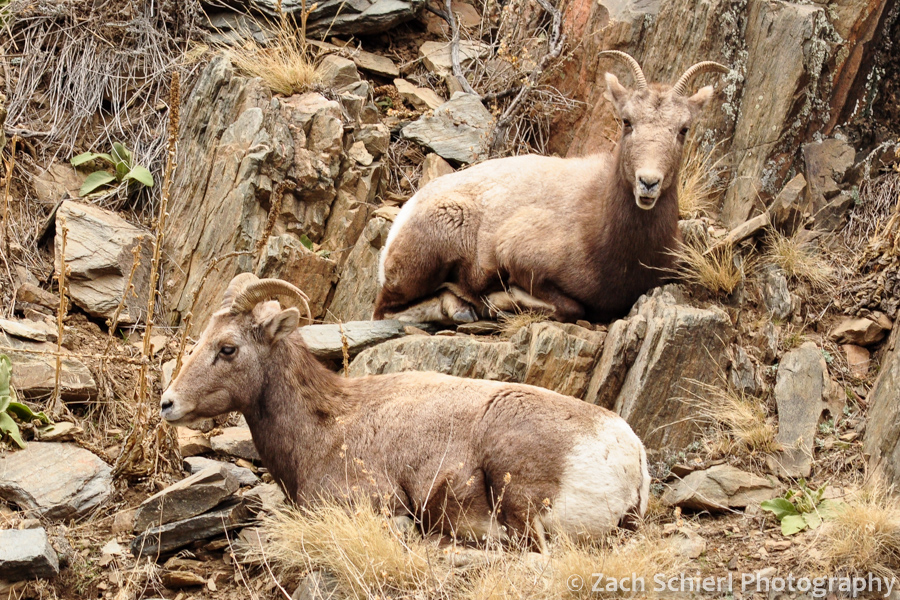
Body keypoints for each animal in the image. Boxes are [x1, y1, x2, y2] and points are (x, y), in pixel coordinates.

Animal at [374, 52, 729, 324]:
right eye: (627, 121)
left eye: (684, 128)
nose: (648, 182)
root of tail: (406, 213)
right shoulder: (521, 258)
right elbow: (572, 307)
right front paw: (500, 300)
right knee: (386, 310)